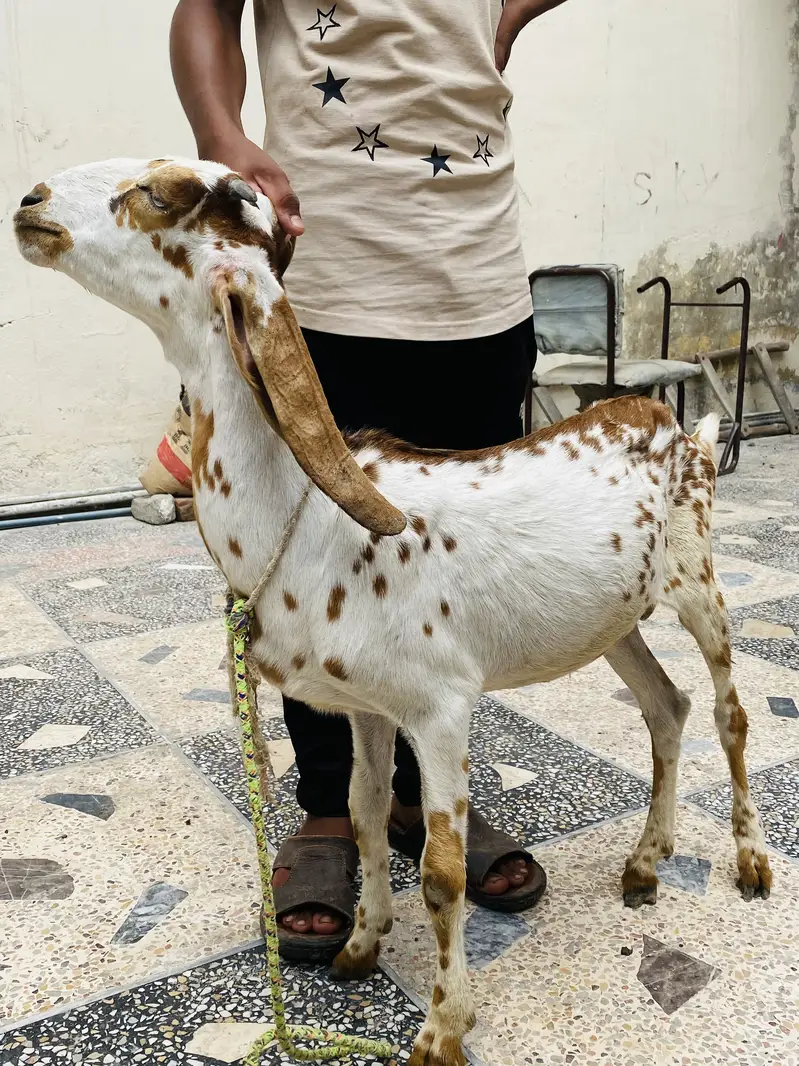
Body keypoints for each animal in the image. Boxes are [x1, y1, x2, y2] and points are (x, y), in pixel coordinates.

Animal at [15, 159, 771, 1066]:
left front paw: (443, 1027)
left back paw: (749, 861)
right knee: (666, 706)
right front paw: (359, 944)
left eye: (160, 193)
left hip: (697, 581)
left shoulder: (440, 706)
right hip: (612, 620)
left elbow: (442, 872)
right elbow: (367, 816)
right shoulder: (367, 708)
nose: (30, 205)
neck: (308, 518)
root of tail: (673, 422)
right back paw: (646, 863)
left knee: (728, 711)